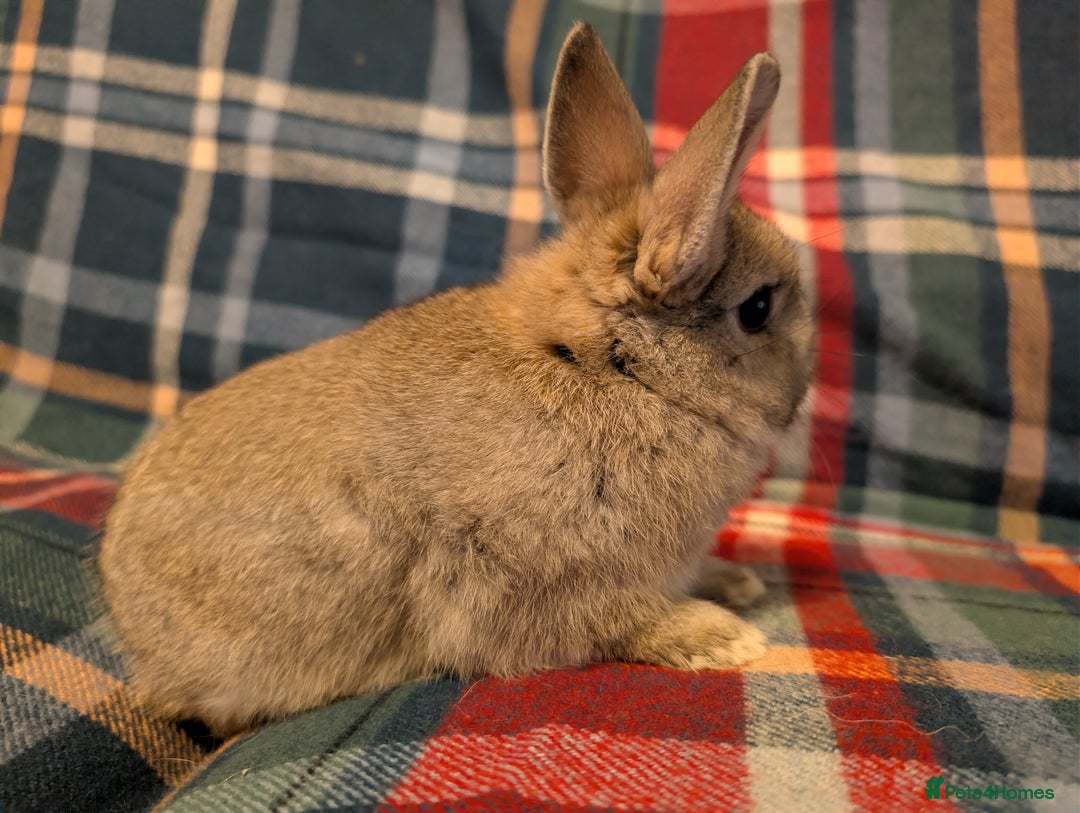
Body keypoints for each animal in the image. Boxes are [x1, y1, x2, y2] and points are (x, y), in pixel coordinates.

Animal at [98, 22, 813, 737]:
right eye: (757, 310)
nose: (805, 383)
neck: (618, 370)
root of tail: (135, 637)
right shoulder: (539, 575)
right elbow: (615, 620)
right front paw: (727, 636)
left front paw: (737, 584)